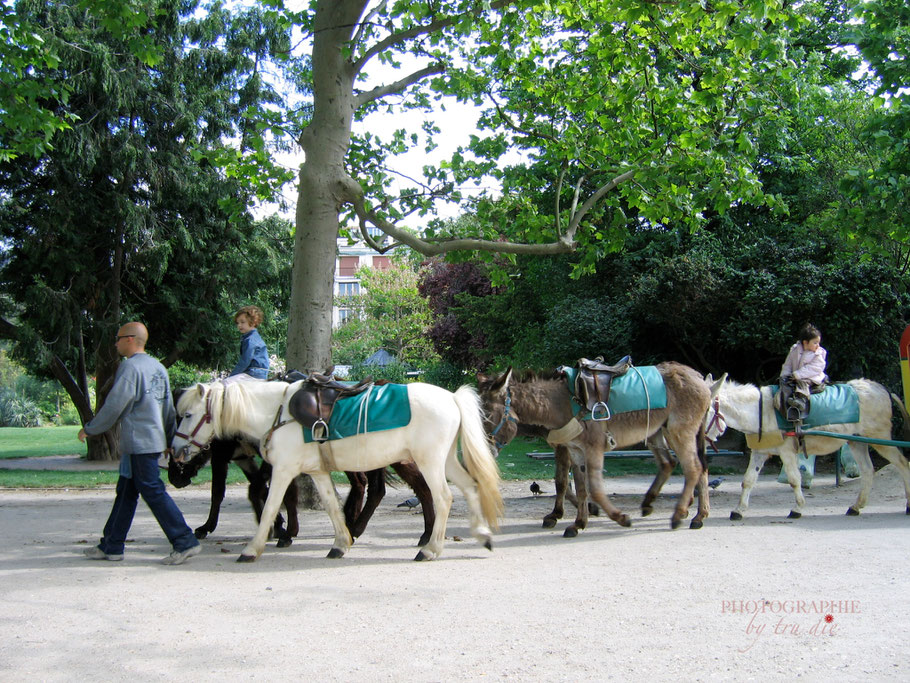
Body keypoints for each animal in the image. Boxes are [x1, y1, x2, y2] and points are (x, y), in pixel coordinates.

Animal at [174, 380, 502, 560]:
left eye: (188, 414)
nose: (175, 453)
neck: (278, 412)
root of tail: (452, 397)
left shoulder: (283, 471)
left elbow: (269, 507)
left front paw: (252, 549)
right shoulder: (316, 472)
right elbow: (332, 507)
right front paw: (341, 543)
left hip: (429, 462)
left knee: (443, 498)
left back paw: (430, 549)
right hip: (445, 461)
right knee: (470, 487)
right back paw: (482, 534)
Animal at [478, 364, 712, 536]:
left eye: (486, 416)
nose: (485, 454)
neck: (562, 404)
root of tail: (698, 376)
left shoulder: (589, 449)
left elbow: (588, 488)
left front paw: (619, 517)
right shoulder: (575, 450)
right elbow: (579, 487)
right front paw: (578, 523)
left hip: (679, 433)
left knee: (694, 468)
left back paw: (684, 516)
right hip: (660, 432)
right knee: (678, 464)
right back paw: (678, 510)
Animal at [712, 374, 910, 520]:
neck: (760, 411)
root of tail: (880, 388)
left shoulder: (787, 452)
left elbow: (794, 479)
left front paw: (797, 509)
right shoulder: (760, 452)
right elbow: (748, 480)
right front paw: (738, 510)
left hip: (879, 438)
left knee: (902, 464)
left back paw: (907, 505)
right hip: (857, 441)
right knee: (868, 470)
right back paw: (856, 507)